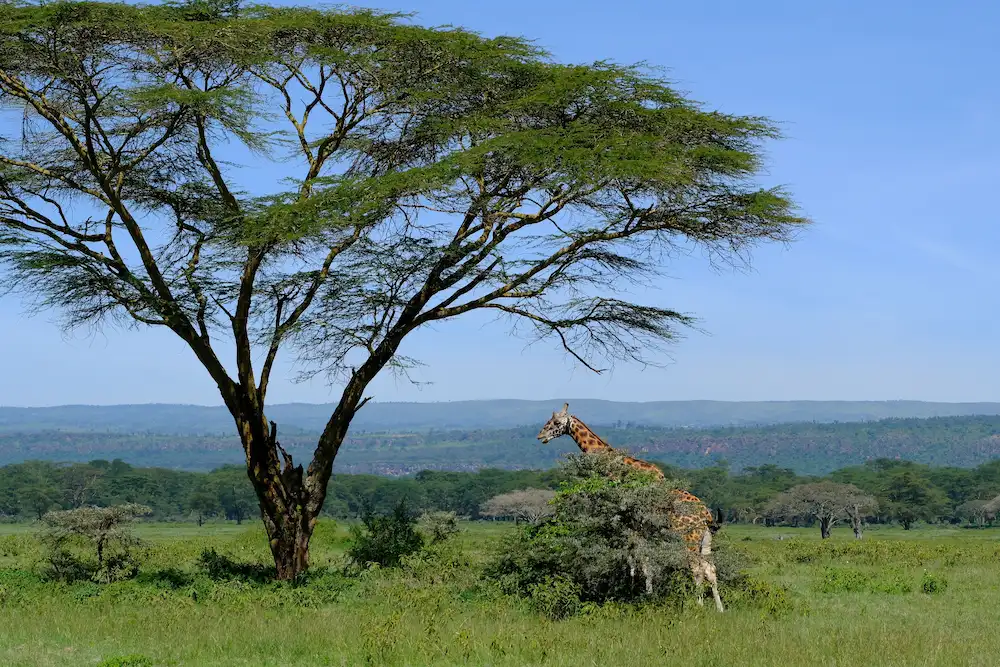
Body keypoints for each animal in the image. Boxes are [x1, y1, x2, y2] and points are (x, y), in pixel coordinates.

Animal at [536, 403, 724, 612]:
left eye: (556, 422)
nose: (540, 436)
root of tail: (706, 514)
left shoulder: (631, 523)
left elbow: (638, 561)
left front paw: (640, 595)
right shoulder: (639, 527)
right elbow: (639, 561)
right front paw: (640, 593)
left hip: (688, 537)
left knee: (697, 568)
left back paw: (697, 605)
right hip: (705, 538)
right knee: (710, 568)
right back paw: (719, 609)